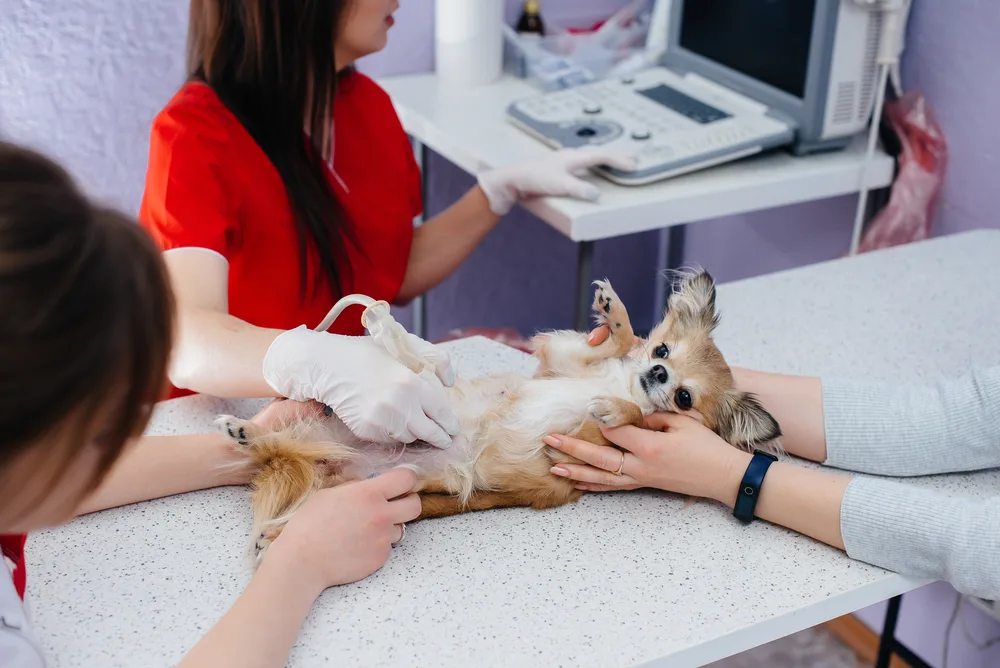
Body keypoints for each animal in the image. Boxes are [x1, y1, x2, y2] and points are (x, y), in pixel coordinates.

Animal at [217, 272, 780, 564]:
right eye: (662, 349)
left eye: (684, 398)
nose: (658, 373)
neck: (619, 385)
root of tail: (337, 465)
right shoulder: (562, 362)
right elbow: (613, 343)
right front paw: (615, 312)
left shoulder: (583, 446)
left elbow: (632, 419)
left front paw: (621, 407)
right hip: (336, 429)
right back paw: (249, 429)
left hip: (374, 489)